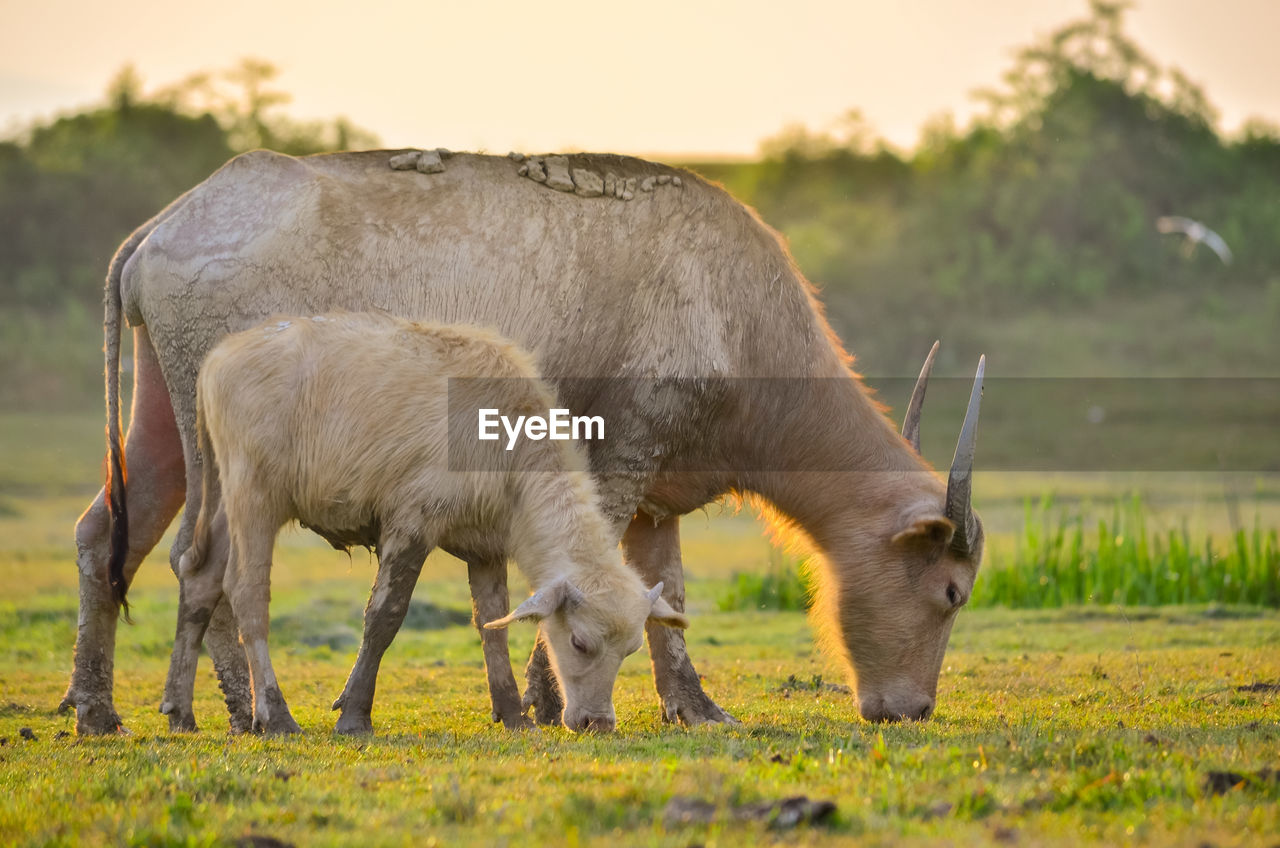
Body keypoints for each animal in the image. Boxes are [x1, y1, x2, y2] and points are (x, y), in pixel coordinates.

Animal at [162, 313, 691, 737]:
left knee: (201, 578)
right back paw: (275, 716)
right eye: (580, 643)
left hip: (223, 491)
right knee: (246, 592)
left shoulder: (485, 546)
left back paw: (180, 711)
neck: (507, 446)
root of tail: (219, 357)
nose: (597, 723)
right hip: (254, 493)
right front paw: (353, 716)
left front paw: (512, 715)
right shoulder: (411, 523)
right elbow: (384, 617)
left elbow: (492, 624)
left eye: (630, 649)